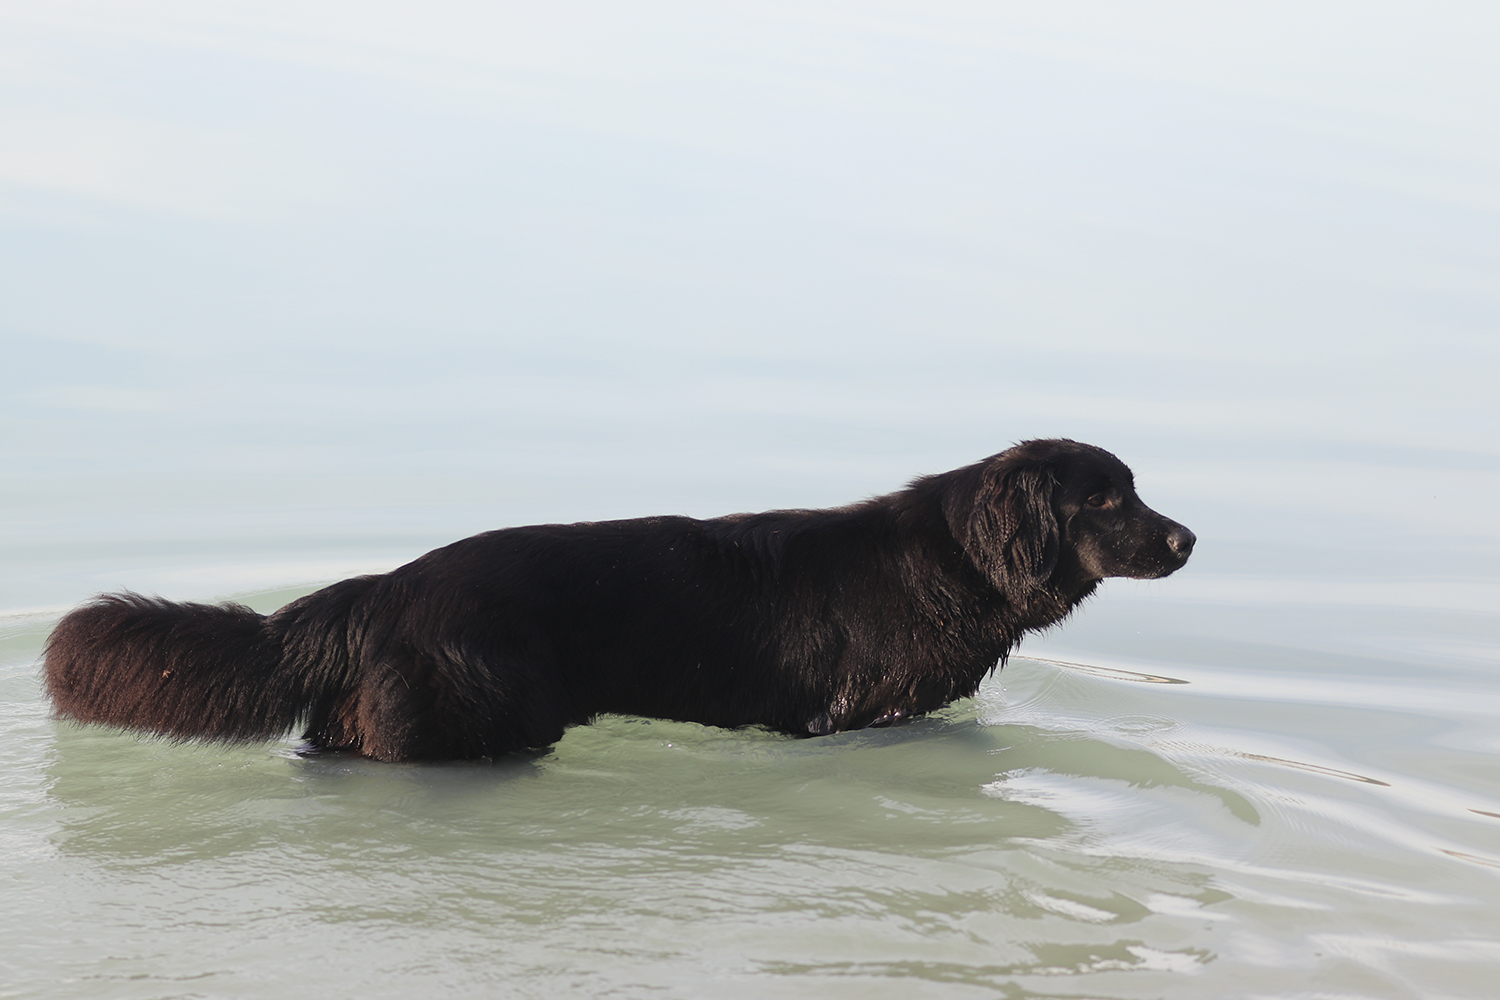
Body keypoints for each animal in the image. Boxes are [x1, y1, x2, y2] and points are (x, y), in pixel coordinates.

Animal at [44, 439, 1193, 761]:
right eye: (1107, 496)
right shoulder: (848, 718)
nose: (1188, 538)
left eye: (1136, 488)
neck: (956, 560)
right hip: (480, 725)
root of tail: (381, 592)